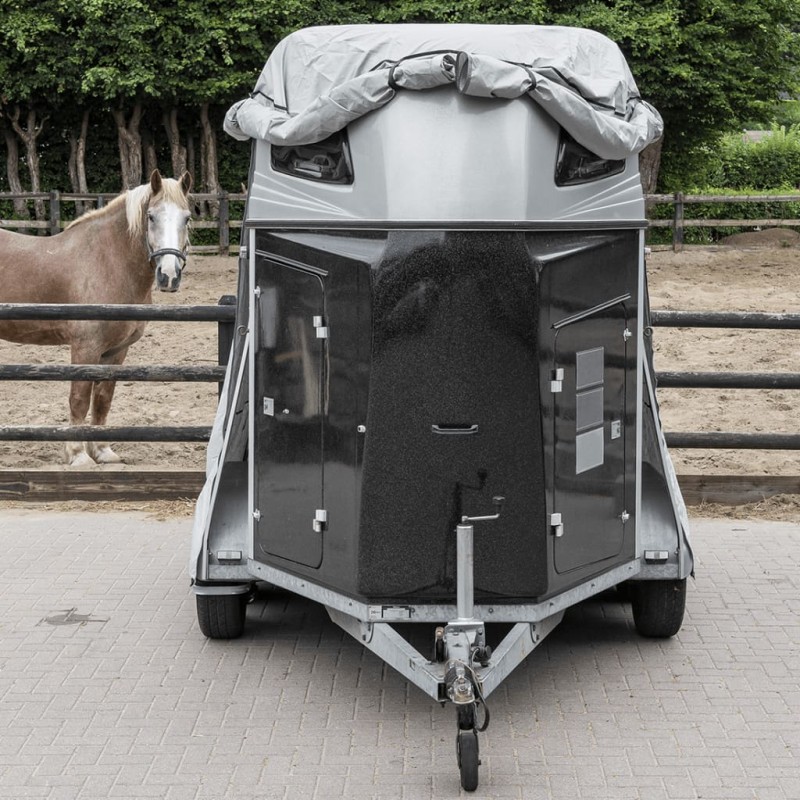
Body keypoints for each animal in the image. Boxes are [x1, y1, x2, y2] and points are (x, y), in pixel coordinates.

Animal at [0, 169, 192, 466]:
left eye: (187, 217)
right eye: (151, 216)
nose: (169, 275)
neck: (108, 262)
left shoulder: (116, 351)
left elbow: (102, 399)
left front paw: (102, 451)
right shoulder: (85, 347)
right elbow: (79, 398)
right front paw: (78, 455)